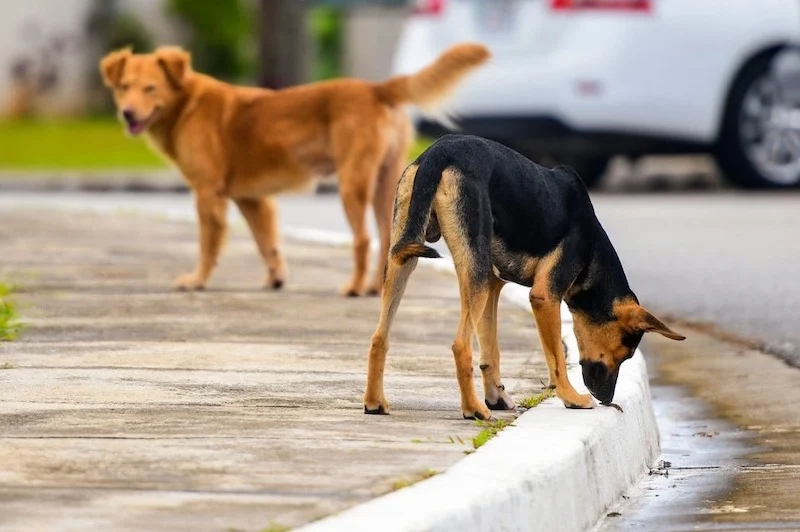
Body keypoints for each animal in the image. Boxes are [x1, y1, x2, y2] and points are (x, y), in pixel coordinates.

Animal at [100, 44, 488, 296]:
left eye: (150, 88)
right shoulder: (252, 199)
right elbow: (267, 243)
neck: (185, 104)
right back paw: (376, 287)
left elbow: (209, 246)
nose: (127, 113)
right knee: (385, 237)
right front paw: (275, 279)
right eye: (124, 88)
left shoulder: (209, 194)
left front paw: (197, 280)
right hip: (387, 187)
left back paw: (354, 287)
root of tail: (374, 88)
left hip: (352, 185)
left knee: (363, 239)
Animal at [366, 134, 684, 420]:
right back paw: (473, 409)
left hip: (405, 258)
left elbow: (491, 351)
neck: (592, 246)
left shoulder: (494, 286)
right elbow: (556, 359)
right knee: (460, 345)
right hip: (472, 270)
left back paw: (374, 402)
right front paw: (570, 398)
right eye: (625, 352)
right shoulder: (544, 297)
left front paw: (496, 397)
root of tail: (438, 152)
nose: (607, 399)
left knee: (379, 336)